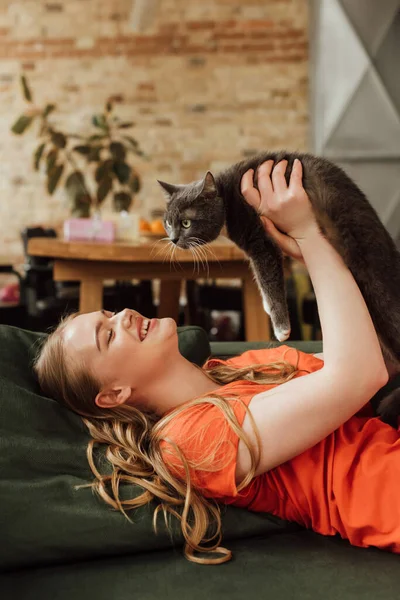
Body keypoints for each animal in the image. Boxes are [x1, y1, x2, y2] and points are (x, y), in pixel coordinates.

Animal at [157, 150, 400, 422]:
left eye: (186, 223)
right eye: (168, 222)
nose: (173, 239)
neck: (227, 196)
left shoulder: (260, 238)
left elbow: (268, 276)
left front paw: (281, 327)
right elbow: (264, 278)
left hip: (371, 274)